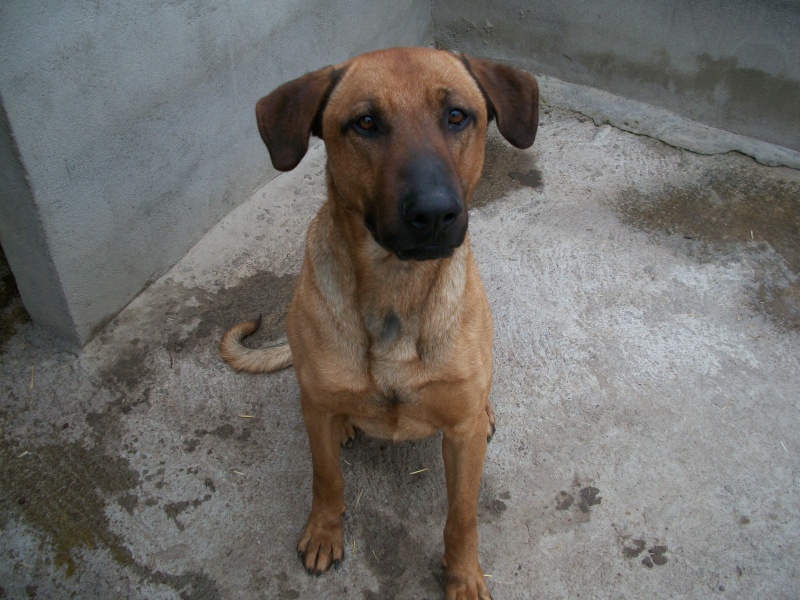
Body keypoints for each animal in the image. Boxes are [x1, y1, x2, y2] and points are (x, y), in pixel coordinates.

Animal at [220, 48, 536, 600]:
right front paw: (324, 532)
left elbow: (463, 515)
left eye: (457, 115)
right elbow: (327, 479)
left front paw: (463, 575)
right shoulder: (317, 416)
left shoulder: (461, 435)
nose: (434, 213)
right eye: (366, 122)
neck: (395, 290)